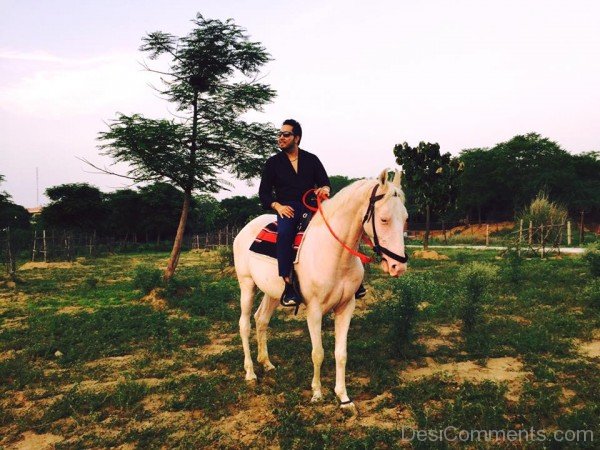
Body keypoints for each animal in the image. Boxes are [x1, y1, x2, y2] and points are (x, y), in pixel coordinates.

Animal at [233, 169, 408, 414]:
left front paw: (344, 398)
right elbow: (318, 353)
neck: (334, 253)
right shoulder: (314, 311)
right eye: (384, 219)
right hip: (247, 285)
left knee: (261, 320)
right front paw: (317, 393)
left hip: (273, 293)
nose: (397, 266)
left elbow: (341, 354)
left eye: (406, 218)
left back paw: (266, 363)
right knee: (245, 324)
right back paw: (250, 372)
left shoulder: (346, 307)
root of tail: (245, 230)